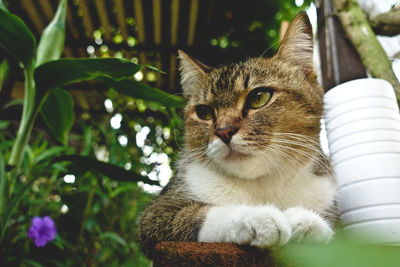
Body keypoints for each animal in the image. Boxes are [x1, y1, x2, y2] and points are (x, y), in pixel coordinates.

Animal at [138, 12, 338, 260]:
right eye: (204, 112)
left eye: (259, 97)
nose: (224, 131)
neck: (263, 185)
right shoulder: (156, 214)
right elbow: (197, 214)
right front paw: (258, 218)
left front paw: (307, 221)